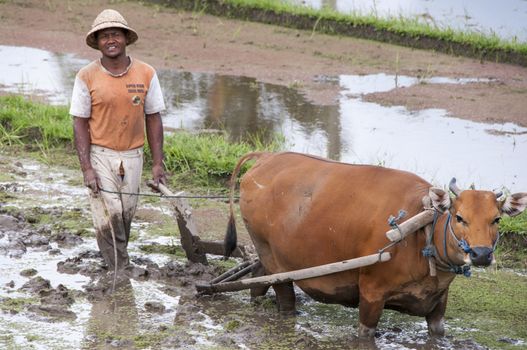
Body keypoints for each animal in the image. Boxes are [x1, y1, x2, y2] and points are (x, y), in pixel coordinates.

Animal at [224, 152, 527, 338]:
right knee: (284, 298)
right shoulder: (371, 294)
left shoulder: (439, 303)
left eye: (496, 219)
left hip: (267, 255)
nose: (481, 254)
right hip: (276, 262)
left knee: (257, 279)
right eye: (459, 217)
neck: (421, 235)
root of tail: (266, 157)